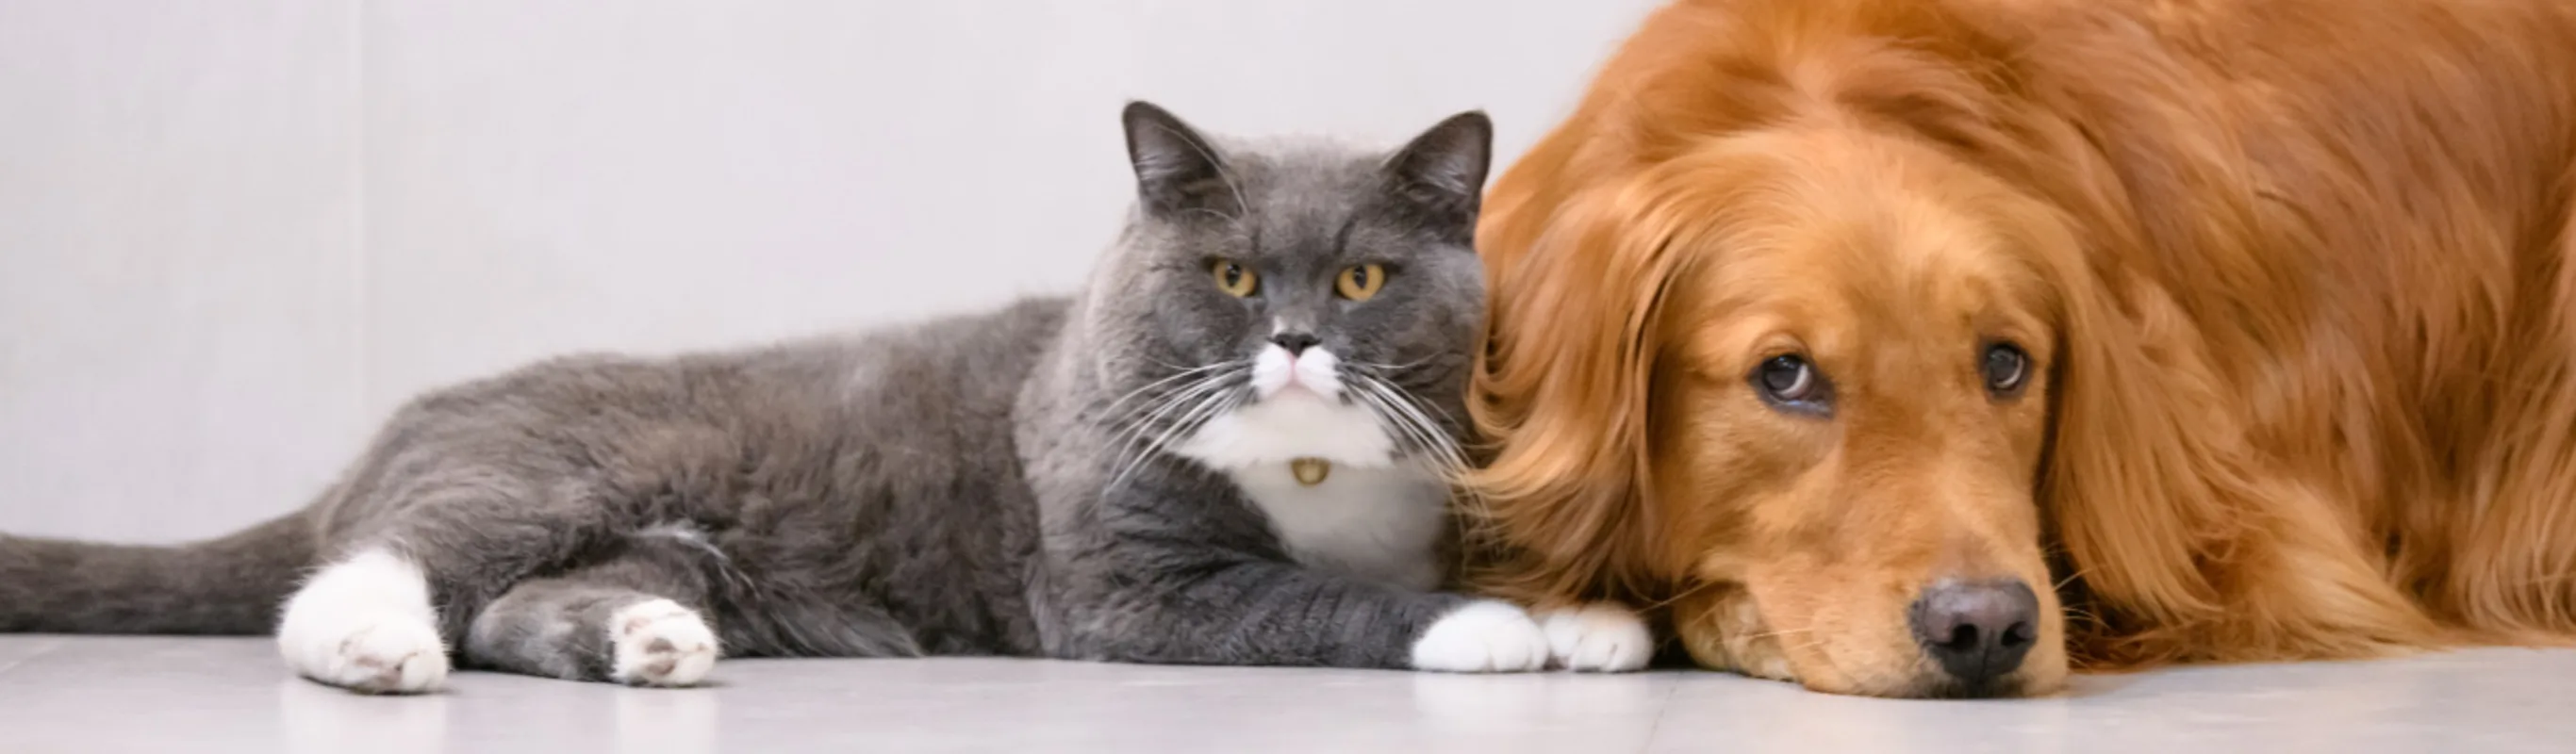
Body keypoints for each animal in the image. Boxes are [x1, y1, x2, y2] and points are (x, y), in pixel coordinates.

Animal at [0, 103, 1648, 689]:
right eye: (1234, 274)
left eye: (1363, 279)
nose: (1298, 339)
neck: (1307, 480)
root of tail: (382, 438)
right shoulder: (1128, 585)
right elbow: (1321, 600)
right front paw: (1491, 630)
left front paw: (1587, 622)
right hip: (552, 466)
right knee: (397, 560)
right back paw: (370, 643)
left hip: (669, 546)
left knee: (521, 604)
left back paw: (649, 643)